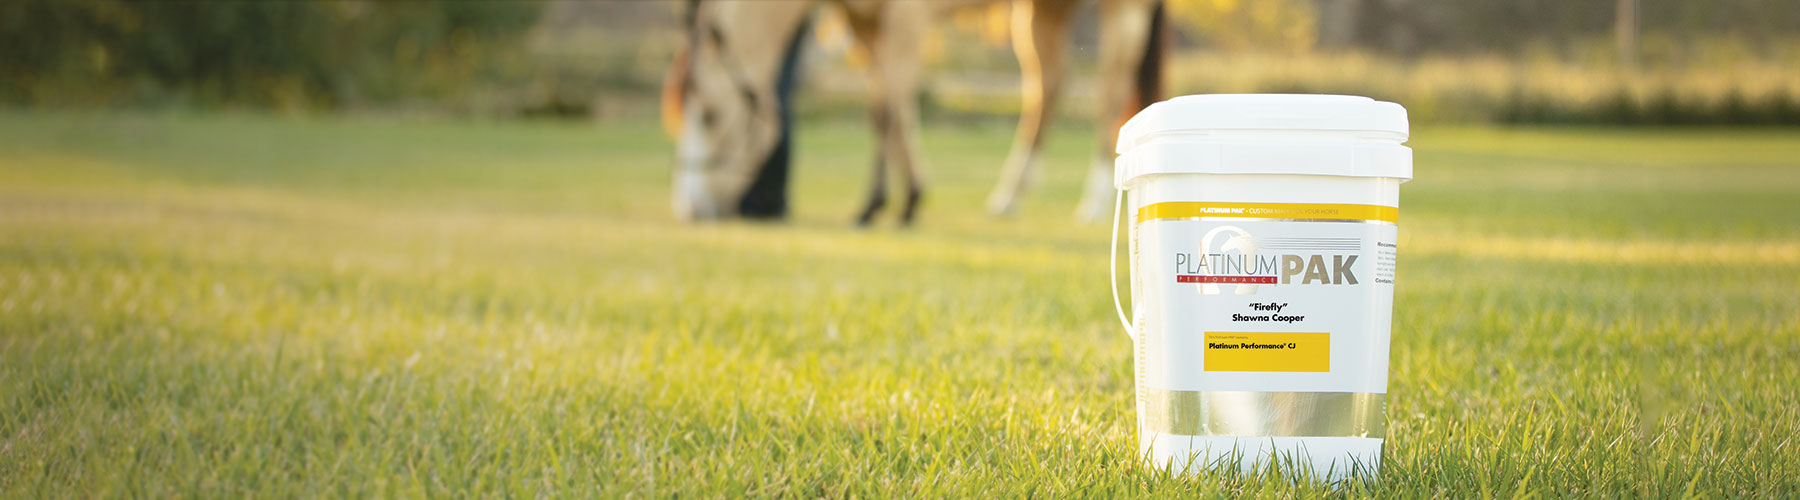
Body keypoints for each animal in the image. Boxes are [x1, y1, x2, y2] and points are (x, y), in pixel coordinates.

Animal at [662, 0, 1166, 225]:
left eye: (710, 115)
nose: (690, 209)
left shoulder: (904, 15)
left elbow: (887, 109)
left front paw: (881, 204)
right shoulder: (865, 20)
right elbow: (888, 108)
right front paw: (903, 200)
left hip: (1122, 13)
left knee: (1109, 101)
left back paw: (1095, 202)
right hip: (1046, 12)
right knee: (1046, 94)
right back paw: (1009, 196)